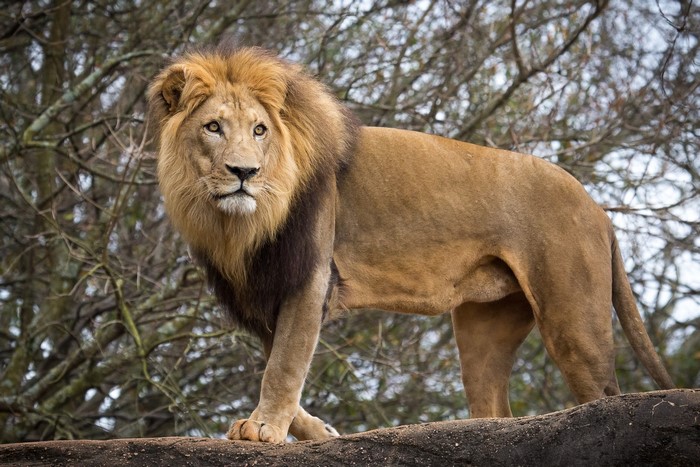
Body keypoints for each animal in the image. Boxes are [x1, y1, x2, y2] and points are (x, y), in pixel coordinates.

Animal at [147, 45, 674, 443]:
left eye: (259, 130)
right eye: (213, 127)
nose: (244, 172)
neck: (237, 224)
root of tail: (597, 207)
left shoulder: (308, 275)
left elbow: (284, 364)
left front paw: (264, 430)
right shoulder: (261, 288)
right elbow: (280, 360)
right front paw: (319, 433)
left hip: (573, 318)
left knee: (605, 398)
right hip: (485, 327)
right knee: (496, 412)